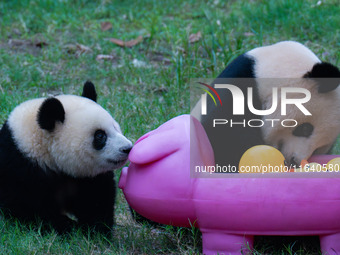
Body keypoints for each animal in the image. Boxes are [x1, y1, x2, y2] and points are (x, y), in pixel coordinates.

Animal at [0, 81, 132, 233]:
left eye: (115, 127)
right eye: (100, 135)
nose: (127, 148)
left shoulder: (85, 176)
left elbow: (95, 197)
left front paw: (96, 229)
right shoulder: (19, 167)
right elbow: (25, 206)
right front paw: (67, 227)